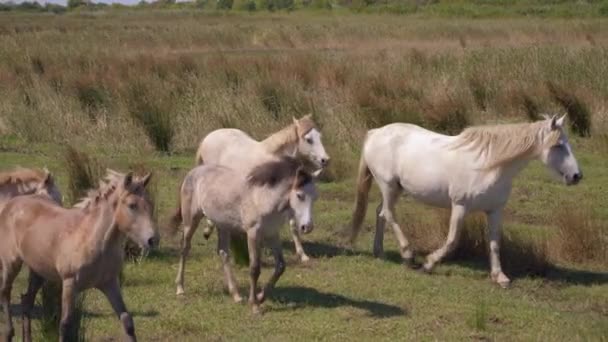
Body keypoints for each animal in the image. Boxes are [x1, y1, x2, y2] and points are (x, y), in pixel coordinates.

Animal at [0, 170, 154, 340]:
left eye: (150, 204)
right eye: (132, 205)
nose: (153, 239)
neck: (93, 239)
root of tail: (11, 203)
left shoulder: (110, 283)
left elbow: (127, 320)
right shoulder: (69, 284)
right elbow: (65, 325)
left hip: (38, 271)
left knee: (26, 302)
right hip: (11, 264)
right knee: (5, 293)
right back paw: (8, 333)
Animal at [167, 156, 318, 314]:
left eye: (315, 197)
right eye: (300, 195)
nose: (307, 227)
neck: (262, 197)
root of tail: (193, 172)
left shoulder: (272, 234)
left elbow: (281, 266)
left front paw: (261, 296)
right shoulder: (253, 234)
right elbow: (254, 268)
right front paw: (255, 305)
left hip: (222, 225)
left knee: (223, 252)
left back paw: (236, 295)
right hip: (191, 221)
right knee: (185, 248)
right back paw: (180, 288)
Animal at [194, 115, 328, 262]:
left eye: (320, 136)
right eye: (309, 139)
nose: (325, 160)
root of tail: (209, 136)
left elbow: (293, 225)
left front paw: (302, 255)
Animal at [346, 115, 580, 286]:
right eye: (559, 145)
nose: (576, 176)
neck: (488, 166)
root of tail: (376, 132)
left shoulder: (494, 211)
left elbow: (495, 243)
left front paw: (500, 276)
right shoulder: (459, 206)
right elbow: (452, 241)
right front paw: (429, 264)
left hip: (394, 189)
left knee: (381, 212)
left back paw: (380, 252)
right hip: (388, 186)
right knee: (388, 214)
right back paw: (408, 254)